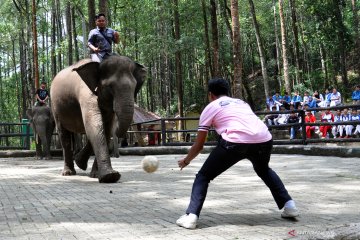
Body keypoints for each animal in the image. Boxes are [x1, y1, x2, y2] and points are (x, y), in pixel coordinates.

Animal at [50, 55, 146, 183]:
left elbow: (105, 130)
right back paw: (68, 173)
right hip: (55, 107)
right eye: (110, 86)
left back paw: (79, 163)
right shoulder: (87, 94)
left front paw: (96, 174)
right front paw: (110, 176)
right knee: (64, 136)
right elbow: (94, 126)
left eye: (135, 87)